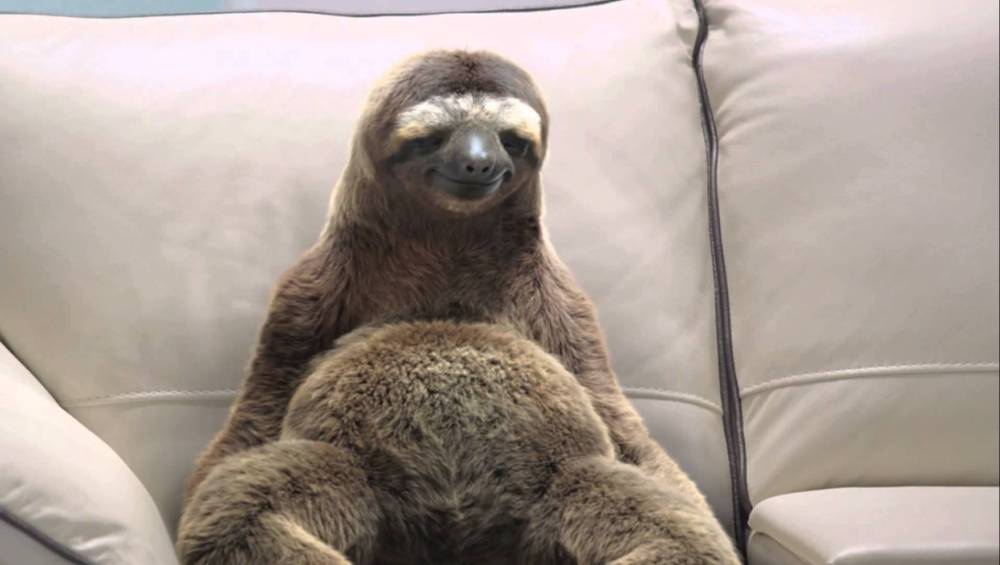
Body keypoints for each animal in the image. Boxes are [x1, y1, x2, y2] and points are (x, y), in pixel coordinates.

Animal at [177, 50, 739, 564]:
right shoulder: (310, 287)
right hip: (348, 470)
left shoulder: (561, 301)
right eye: (435, 134)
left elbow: (612, 410)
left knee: (678, 536)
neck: (446, 247)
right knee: (239, 511)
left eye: (510, 137)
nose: (478, 160)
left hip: (565, 480)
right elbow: (261, 405)